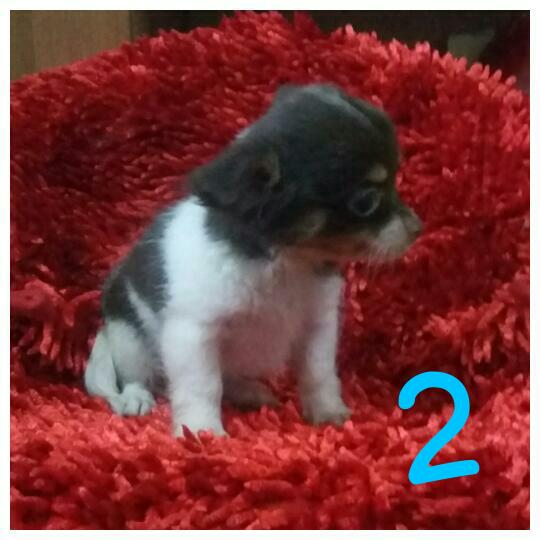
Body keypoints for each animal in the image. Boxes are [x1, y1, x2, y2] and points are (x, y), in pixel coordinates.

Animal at [84, 83, 422, 436]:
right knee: (137, 377)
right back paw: (136, 398)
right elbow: (202, 386)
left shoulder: (317, 326)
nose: (418, 229)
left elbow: (318, 373)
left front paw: (328, 413)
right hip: (128, 338)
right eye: (366, 201)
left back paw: (248, 392)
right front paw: (201, 431)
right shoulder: (193, 334)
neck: (289, 261)